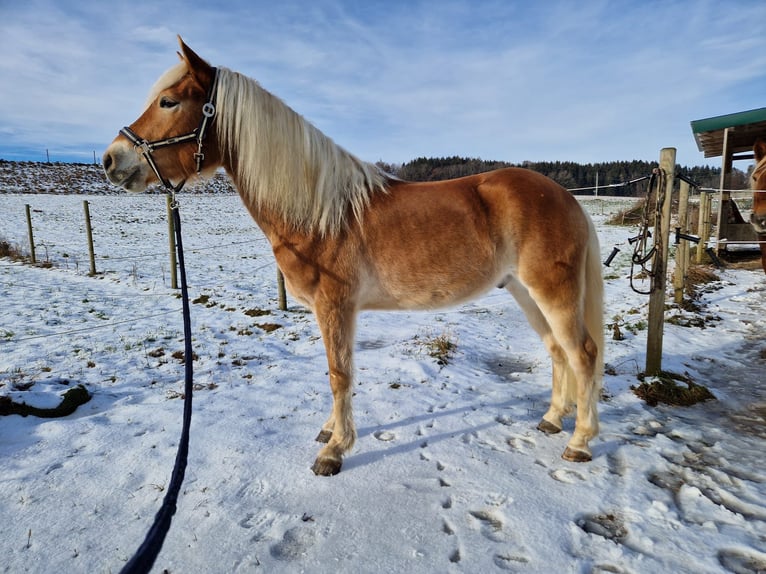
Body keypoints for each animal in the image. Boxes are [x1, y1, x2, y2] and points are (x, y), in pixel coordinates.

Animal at [103, 37, 608, 476]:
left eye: (169, 102)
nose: (111, 159)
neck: (319, 212)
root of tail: (568, 198)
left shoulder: (336, 306)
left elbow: (339, 374)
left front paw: (334, 451)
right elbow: (335, 372)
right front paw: (330, 432)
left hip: (552, 291)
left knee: (582, 353)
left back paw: (579, 442)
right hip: (525, 291)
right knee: (557, 350)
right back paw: (552, 419)